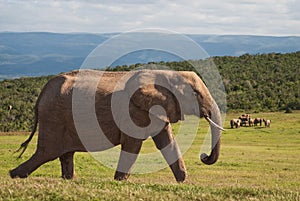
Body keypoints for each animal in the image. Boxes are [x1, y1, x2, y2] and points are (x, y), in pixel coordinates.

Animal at [9, 70, 223, 182]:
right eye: (195, 93)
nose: (204, 156)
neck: (166, 73)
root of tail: (42, 93)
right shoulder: (134, 111)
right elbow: (133, 144)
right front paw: (119, 181)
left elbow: (167, 142)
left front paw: (183, 182)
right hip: (53, 117)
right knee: (46, 153)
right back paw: (14, 175)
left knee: (63, 154)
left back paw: (68, 179)